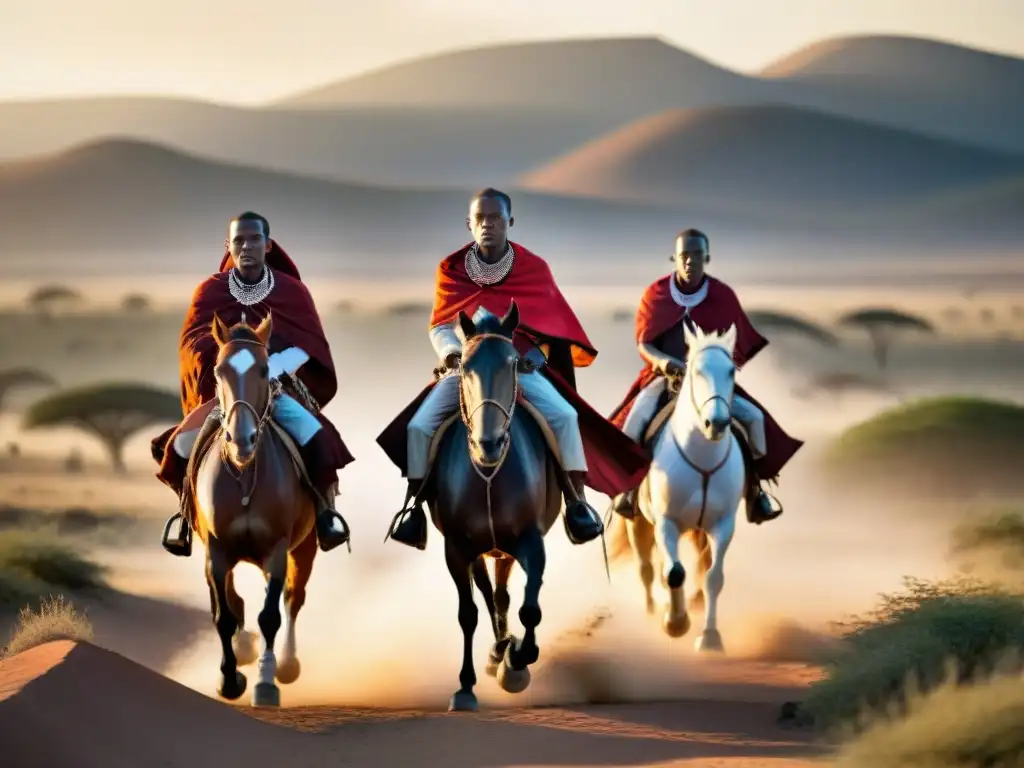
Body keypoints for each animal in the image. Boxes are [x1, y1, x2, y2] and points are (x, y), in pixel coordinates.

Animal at [192, 313, 317, 708]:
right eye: (219, 370)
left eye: (264, 370)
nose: (241, 439)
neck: (245, 477)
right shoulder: (216, 552)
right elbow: (224, 615)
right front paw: (229, 680)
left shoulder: (277, 550)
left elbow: (271, 616)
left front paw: (265, 681)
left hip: (304, 547)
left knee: (292, 599)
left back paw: (285, 663)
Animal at [425, 303, 565, 712]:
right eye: (465, 366)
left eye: (514, 362)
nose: (489, 443)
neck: (488, 473)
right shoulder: (456, 548)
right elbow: (468, 613)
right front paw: (465, 687)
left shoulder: (532, 542)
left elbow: (530, 607)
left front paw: (517, 662)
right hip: (482, 549)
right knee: (490, 595)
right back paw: (496, 650)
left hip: (504, 547)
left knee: (502, 593)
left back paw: (504, 651)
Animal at [606, 321, 745, 651]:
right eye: (697, 370)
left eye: (731, 371)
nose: (716, 424)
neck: (702, 459)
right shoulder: (666, 523)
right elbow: (673, 573)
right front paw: (675, 623)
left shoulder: (723, 525)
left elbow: (713, 577)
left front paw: (710, 638)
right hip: (638, 522)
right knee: (646, 568)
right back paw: (652, 612)